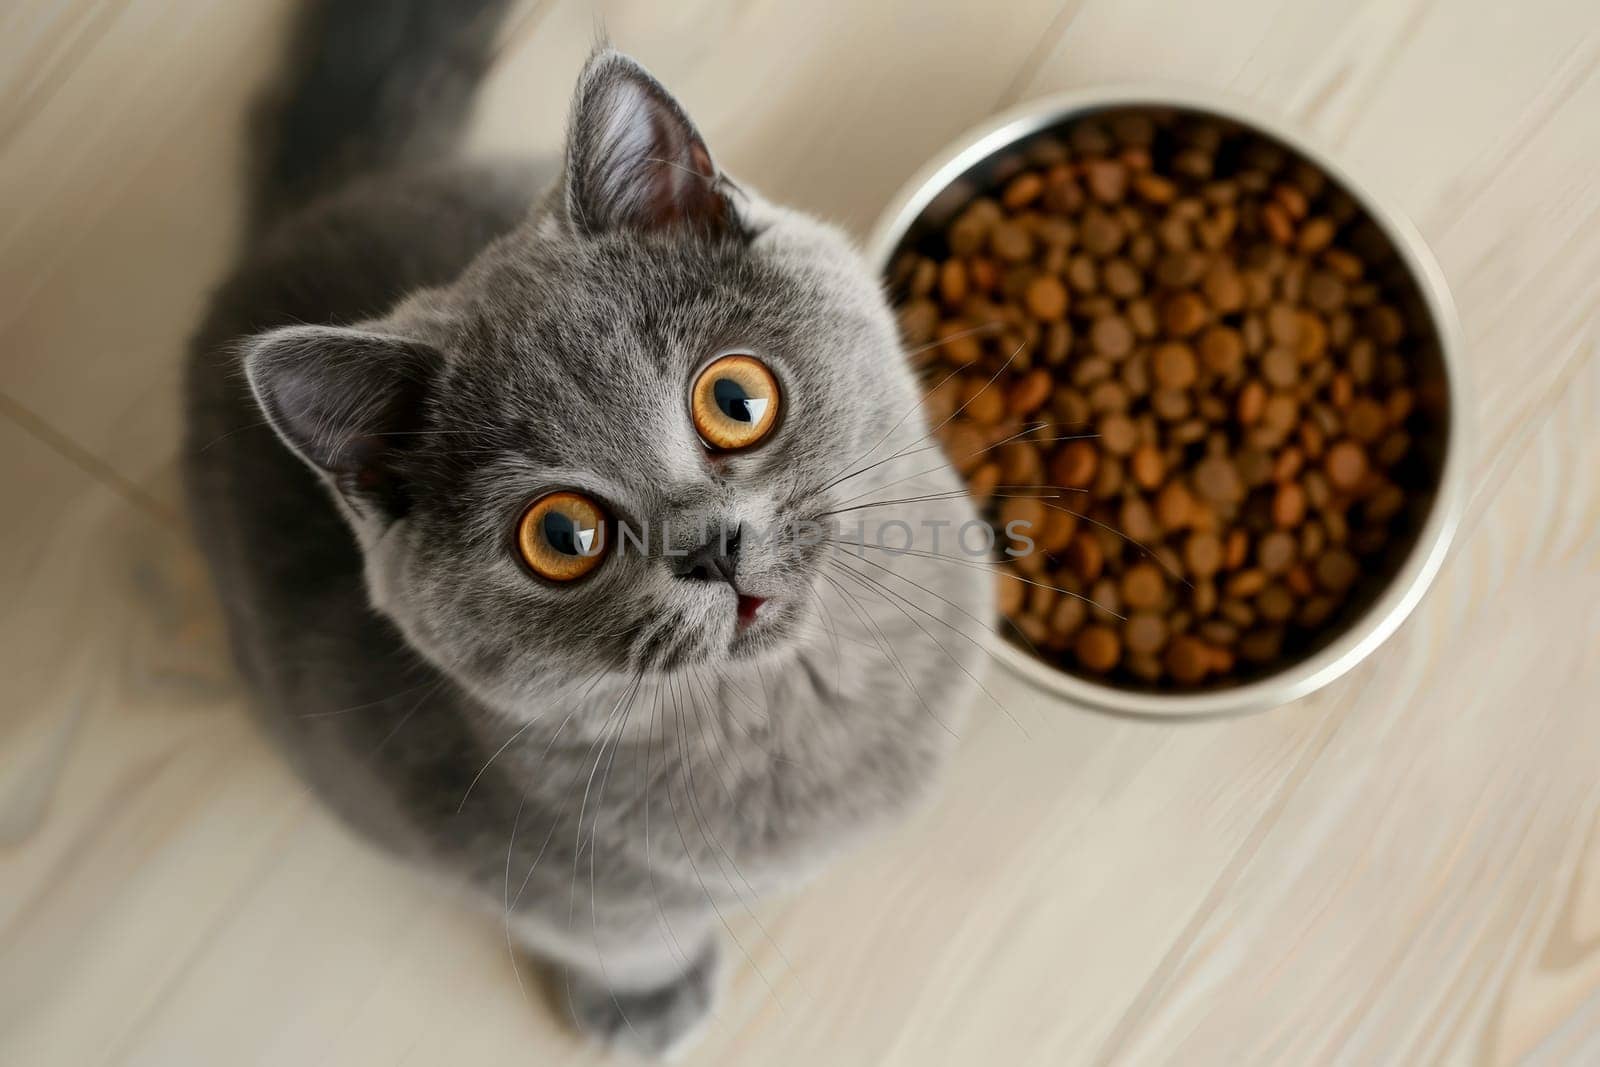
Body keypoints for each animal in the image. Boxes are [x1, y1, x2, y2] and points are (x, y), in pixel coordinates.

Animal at [184, 0, 985, 1055]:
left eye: (735, 398)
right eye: (562, 538)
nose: (708, 545)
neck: (798, 700)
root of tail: (312, 213)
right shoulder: (534, 878)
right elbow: (622, 936)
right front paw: (643, 1003)